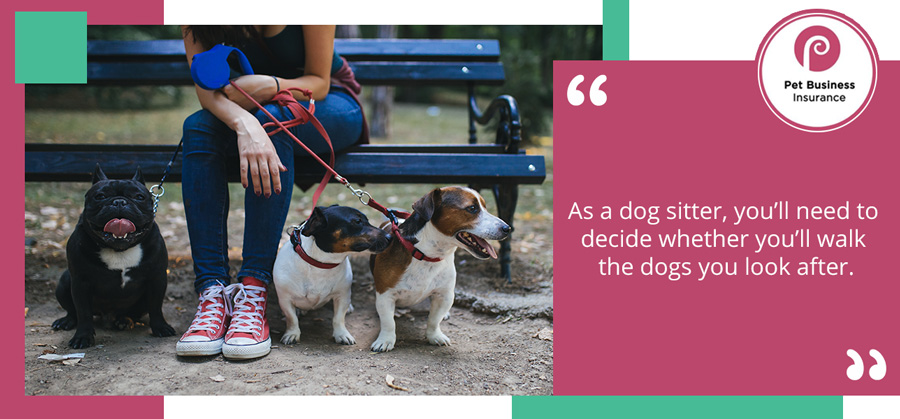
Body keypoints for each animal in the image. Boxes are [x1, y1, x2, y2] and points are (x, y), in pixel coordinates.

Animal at [368, 186, 506, 352]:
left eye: (485, 207)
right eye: (472, 208)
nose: (508, 228)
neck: (426, 255)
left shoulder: (444, 295)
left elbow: (434, 320)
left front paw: (434, 336)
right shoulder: (385, 295)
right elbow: (388, 322)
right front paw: (386, 339)